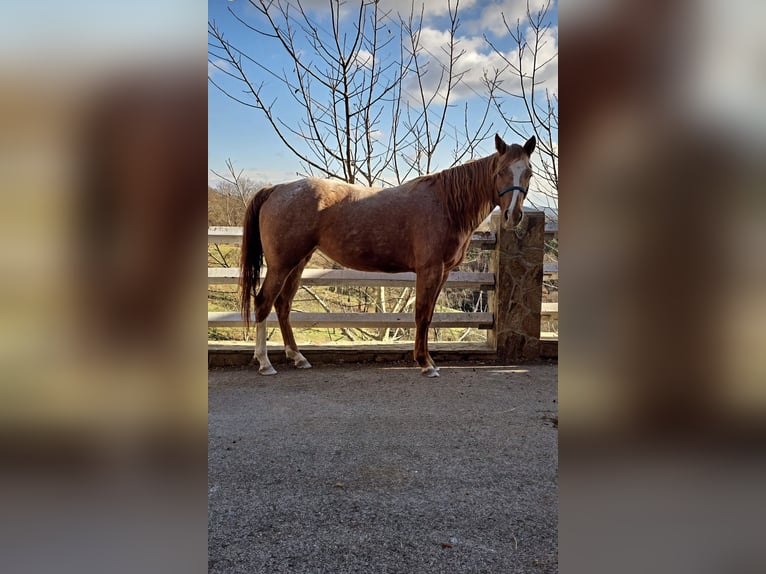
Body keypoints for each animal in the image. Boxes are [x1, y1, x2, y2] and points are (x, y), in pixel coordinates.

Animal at [240, 134, 535, 377]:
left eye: (529, 173)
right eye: (500, 171)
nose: (513, 216)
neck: (446, 204)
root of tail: (277, 189)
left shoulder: (443, 272)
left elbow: (428, 315)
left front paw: (428, 360)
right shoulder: (429, 270)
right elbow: (422, 314)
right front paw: (425, 364)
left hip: (298, 262)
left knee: (283, 305)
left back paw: (298, 357)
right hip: (281, 264)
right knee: (263, 302)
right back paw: (265, 362)